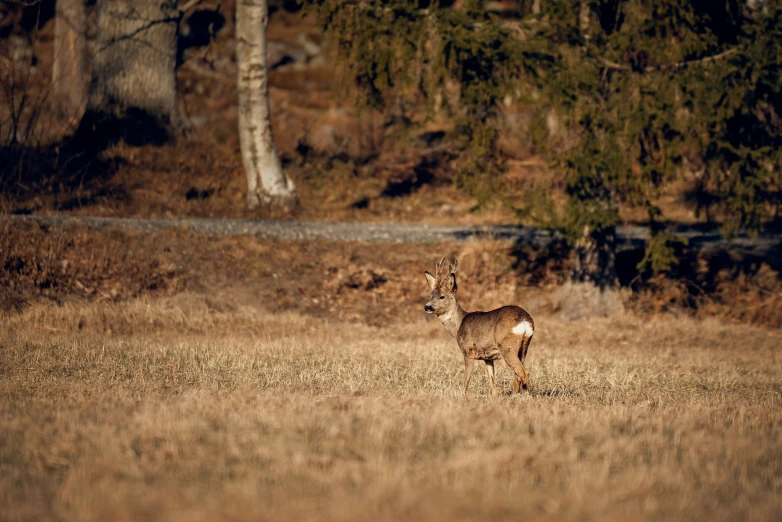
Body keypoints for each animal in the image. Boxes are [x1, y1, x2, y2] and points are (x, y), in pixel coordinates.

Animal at [426, 256, 536, 394]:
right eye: (430, 295)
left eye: (442, 296)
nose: (427, 307)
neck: (458, 325)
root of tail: (525, 320)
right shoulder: (488, 357)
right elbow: (492, 380)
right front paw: (494, 396)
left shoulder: (468, 351)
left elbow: (466, 381)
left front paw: (463, 395)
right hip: (524, 347)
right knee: (518, 374)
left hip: (507, 347)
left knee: (523, 372)